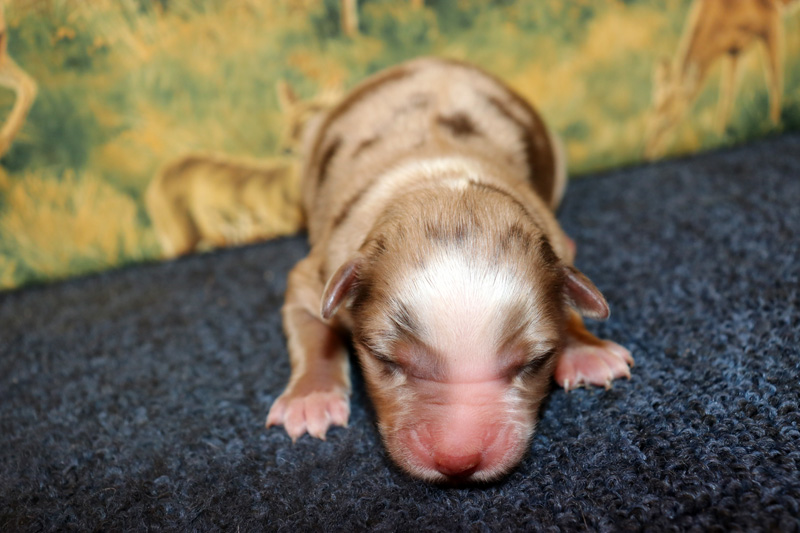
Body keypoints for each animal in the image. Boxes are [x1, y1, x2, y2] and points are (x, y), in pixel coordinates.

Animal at [267, 57, 633, 483]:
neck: (442, 185)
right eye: (385, 360)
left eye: (535, 362)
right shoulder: (319, 271)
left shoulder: (555, 238)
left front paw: (587, 349)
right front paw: (311, 398)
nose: (458, 461)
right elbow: (313, 331)